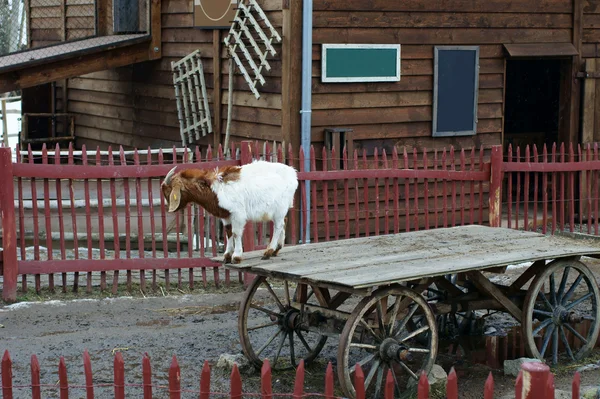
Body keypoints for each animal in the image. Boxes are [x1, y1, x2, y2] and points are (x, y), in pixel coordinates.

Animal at [161, 161, 298, 264]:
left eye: (168, 192)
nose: (169, 209)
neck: (214, 190)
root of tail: (293, 174)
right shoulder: (226, 215)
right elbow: (228, 232)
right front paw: (227, 256)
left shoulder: (238, 213)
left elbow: (236, 233)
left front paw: (236, 257)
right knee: (284, 221)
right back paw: (276, 249)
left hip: (279, 208)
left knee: (278, 226)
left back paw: (268, 251)